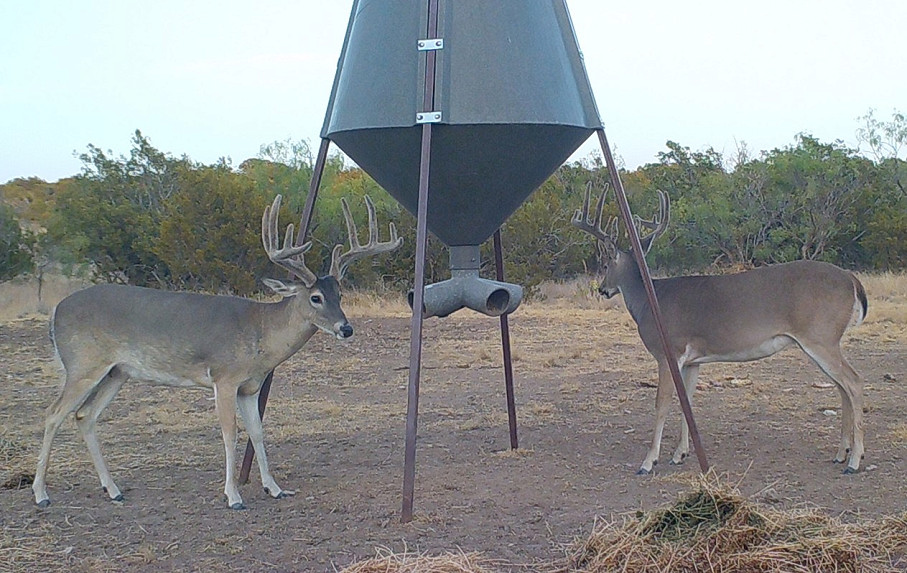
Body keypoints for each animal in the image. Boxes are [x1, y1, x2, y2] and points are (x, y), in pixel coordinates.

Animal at [32, 194, 400, 508]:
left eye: (340, 294)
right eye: (315, 297)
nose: (346, 328)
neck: (261, 334)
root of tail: (55, 311)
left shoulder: (249, 387)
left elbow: (258, 432)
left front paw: (275, 488)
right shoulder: (224, 378)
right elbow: (229, 433)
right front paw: (233, 496)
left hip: (116, 372)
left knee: (84, 415)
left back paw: (113, 490)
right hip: (82, 364)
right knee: (52, 412)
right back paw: (41, 494)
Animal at [572, 184, 868, 474]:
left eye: (605, 264)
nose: (602, 289)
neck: (649, 301)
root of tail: (852, 279)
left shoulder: (669, 351)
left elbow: (662, 402)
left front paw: (648, 461)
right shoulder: (692, 361)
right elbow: (687, 402)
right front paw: (680, 454)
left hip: (821, 337)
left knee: (853, 381)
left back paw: (855, 460)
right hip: (822, 341)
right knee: (841, 386)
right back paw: (841, 453)